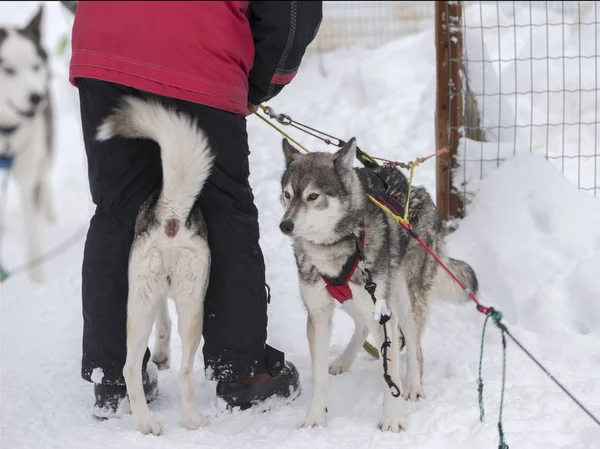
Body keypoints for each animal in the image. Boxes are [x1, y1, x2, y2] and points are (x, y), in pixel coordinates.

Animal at [95, 97, 213, 434]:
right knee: (186, 371)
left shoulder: (156, 295)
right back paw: (194, 420)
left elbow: (163, 324)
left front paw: (160, 355)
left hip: (139, 305)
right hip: (193, 308)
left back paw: (146, 423)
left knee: (129, 367)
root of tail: (171, 214)